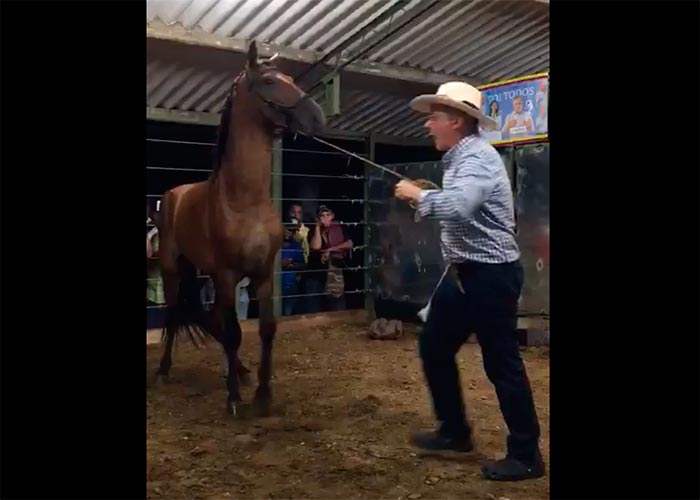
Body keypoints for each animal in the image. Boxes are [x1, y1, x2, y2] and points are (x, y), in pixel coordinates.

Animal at [154, 40, 326, 417]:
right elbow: (234, 331)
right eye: (269, 81)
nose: (317, 116)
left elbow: (265, 330)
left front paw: (262, 394)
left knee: (208, 317)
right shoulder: (227, 274)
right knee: (175, 314)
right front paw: (233, 399)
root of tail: (172, 195)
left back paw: (241, 371)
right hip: (173, 270)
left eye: (290, 78)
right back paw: (163, 370)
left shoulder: (262, 274)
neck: (244, 201)